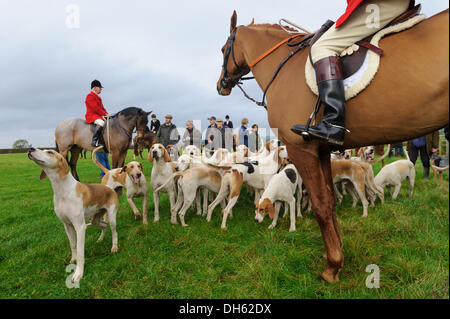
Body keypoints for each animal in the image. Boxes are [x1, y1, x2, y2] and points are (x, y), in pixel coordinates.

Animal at [216, 10, 448, 284]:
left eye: (223, 49)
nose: (221, 85)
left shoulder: (301, 149)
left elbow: (321, 207)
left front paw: (332, 267)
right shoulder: (324, 152)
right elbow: (332, 202)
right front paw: (338, 254)